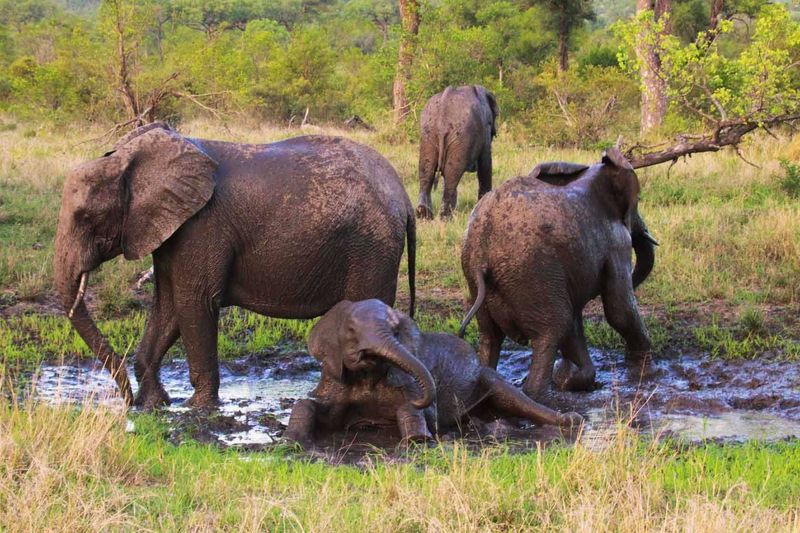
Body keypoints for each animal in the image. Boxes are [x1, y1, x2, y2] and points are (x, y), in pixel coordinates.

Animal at [54, 122, 416, 409]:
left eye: (85, 217)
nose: (126, 401)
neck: (127, 160)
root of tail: (404, 197)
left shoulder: (202, 226)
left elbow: (194, 303)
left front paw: (197, 408)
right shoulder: (173, 228)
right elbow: (168, 306)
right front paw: (155, 405)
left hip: (372, 247)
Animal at [283, 299, 582, 446]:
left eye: (395, 332)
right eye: (351, 331)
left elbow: (420, 413)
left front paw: (417, 440)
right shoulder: (336, 378)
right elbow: (311, 406)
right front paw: (293, 440)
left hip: (487, 378)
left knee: (513, 397)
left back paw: (570, 421)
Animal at [416, 85, 499, 219]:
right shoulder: (485, 128)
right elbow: (485, 164)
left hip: (428, 133)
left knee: (427, 170)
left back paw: (424, 215)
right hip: (459, 135)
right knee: (452, 172)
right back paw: (445, 217)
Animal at [458, 148, 658, 400]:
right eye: (638, 200)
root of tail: (483, 254)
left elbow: (577, 319)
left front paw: (569, 378)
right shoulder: (617, 242)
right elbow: (619, 310)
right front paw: (644, 368)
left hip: (480, 280)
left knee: (490, 337)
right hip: (531, 273)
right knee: (552, 329)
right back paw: (542, 398)